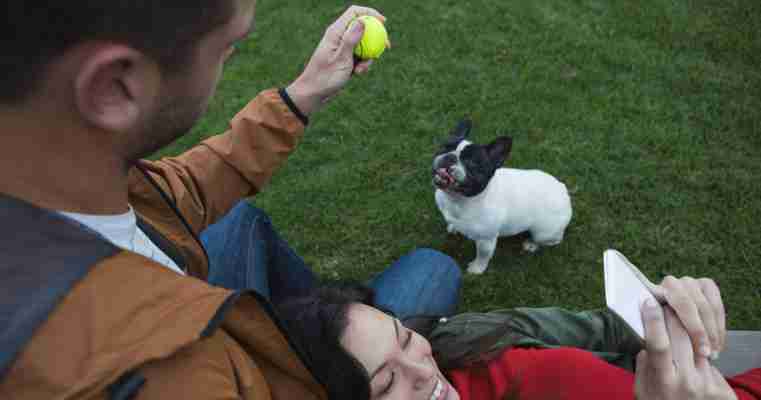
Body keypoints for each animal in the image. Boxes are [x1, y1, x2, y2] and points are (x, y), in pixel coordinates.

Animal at [434, 120, 568, 274]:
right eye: (443, 147)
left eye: (472, 162)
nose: (450, 156)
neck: (457, 200)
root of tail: (563, 190)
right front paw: (453, 227)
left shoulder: (486, 240)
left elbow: (483, 256)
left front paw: (476, 269)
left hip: (543, 232)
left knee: (551, 240)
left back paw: (532, 244)